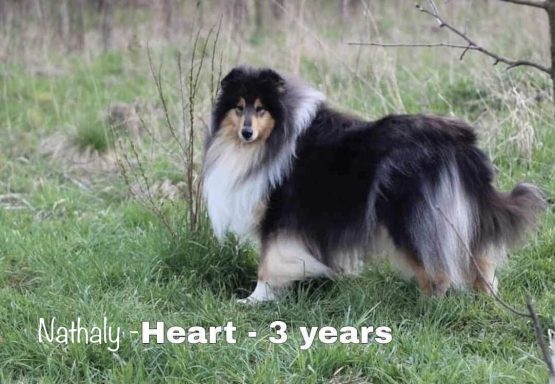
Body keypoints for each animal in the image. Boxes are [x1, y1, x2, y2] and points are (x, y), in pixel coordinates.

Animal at [201, 67, 548, 304]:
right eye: (239, 107)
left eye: (261, 108)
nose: (246, 132)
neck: (272, 138)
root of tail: (462, 142)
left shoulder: (278, 212)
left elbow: (268, 262)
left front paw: (253, 300)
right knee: (478, 259)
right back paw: (483, 297)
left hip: (412, 217)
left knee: (438, 269)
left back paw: (427, 304)